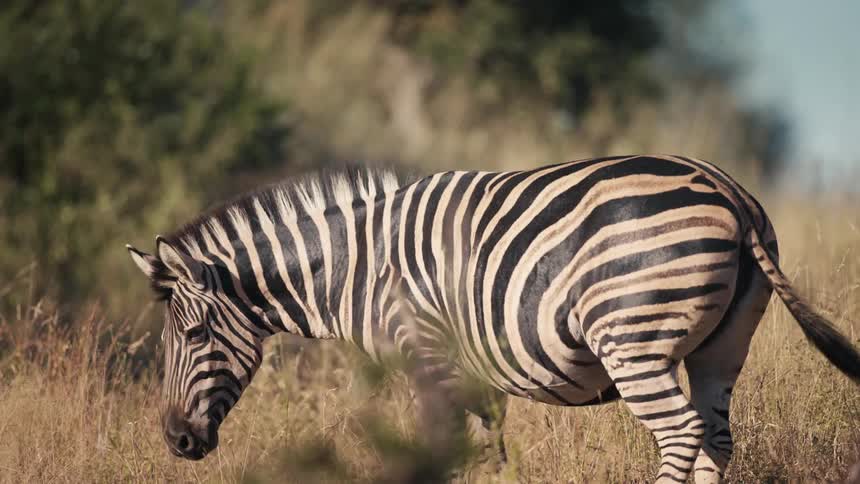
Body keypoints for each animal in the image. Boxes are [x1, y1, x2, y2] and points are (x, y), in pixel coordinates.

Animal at [127, 155, 860, 483]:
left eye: (193, 335)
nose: (177, 442)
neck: (354, 267)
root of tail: (728, 191)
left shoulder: (425, 355)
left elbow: (442, 452)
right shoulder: (472, 371)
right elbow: (488, 454)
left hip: (633, 343)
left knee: (680, 432)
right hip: (722, 347)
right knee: (716, 438)